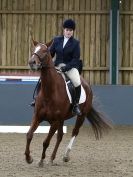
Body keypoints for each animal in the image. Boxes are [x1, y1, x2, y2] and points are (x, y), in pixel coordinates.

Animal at [25, 39, 112, 167]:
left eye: (45, 51)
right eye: (34, 49)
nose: (32, 62)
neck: (50, 92)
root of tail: (87, 85)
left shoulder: (55, 122)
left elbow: (46, 142)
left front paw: (41, 160)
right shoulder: (37, 117)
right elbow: (29, 135)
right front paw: (28, 158)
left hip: (81, 116)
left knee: (75, 132)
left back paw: (65, 155)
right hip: (62, 119)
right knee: (60, 136)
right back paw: (52, 158)